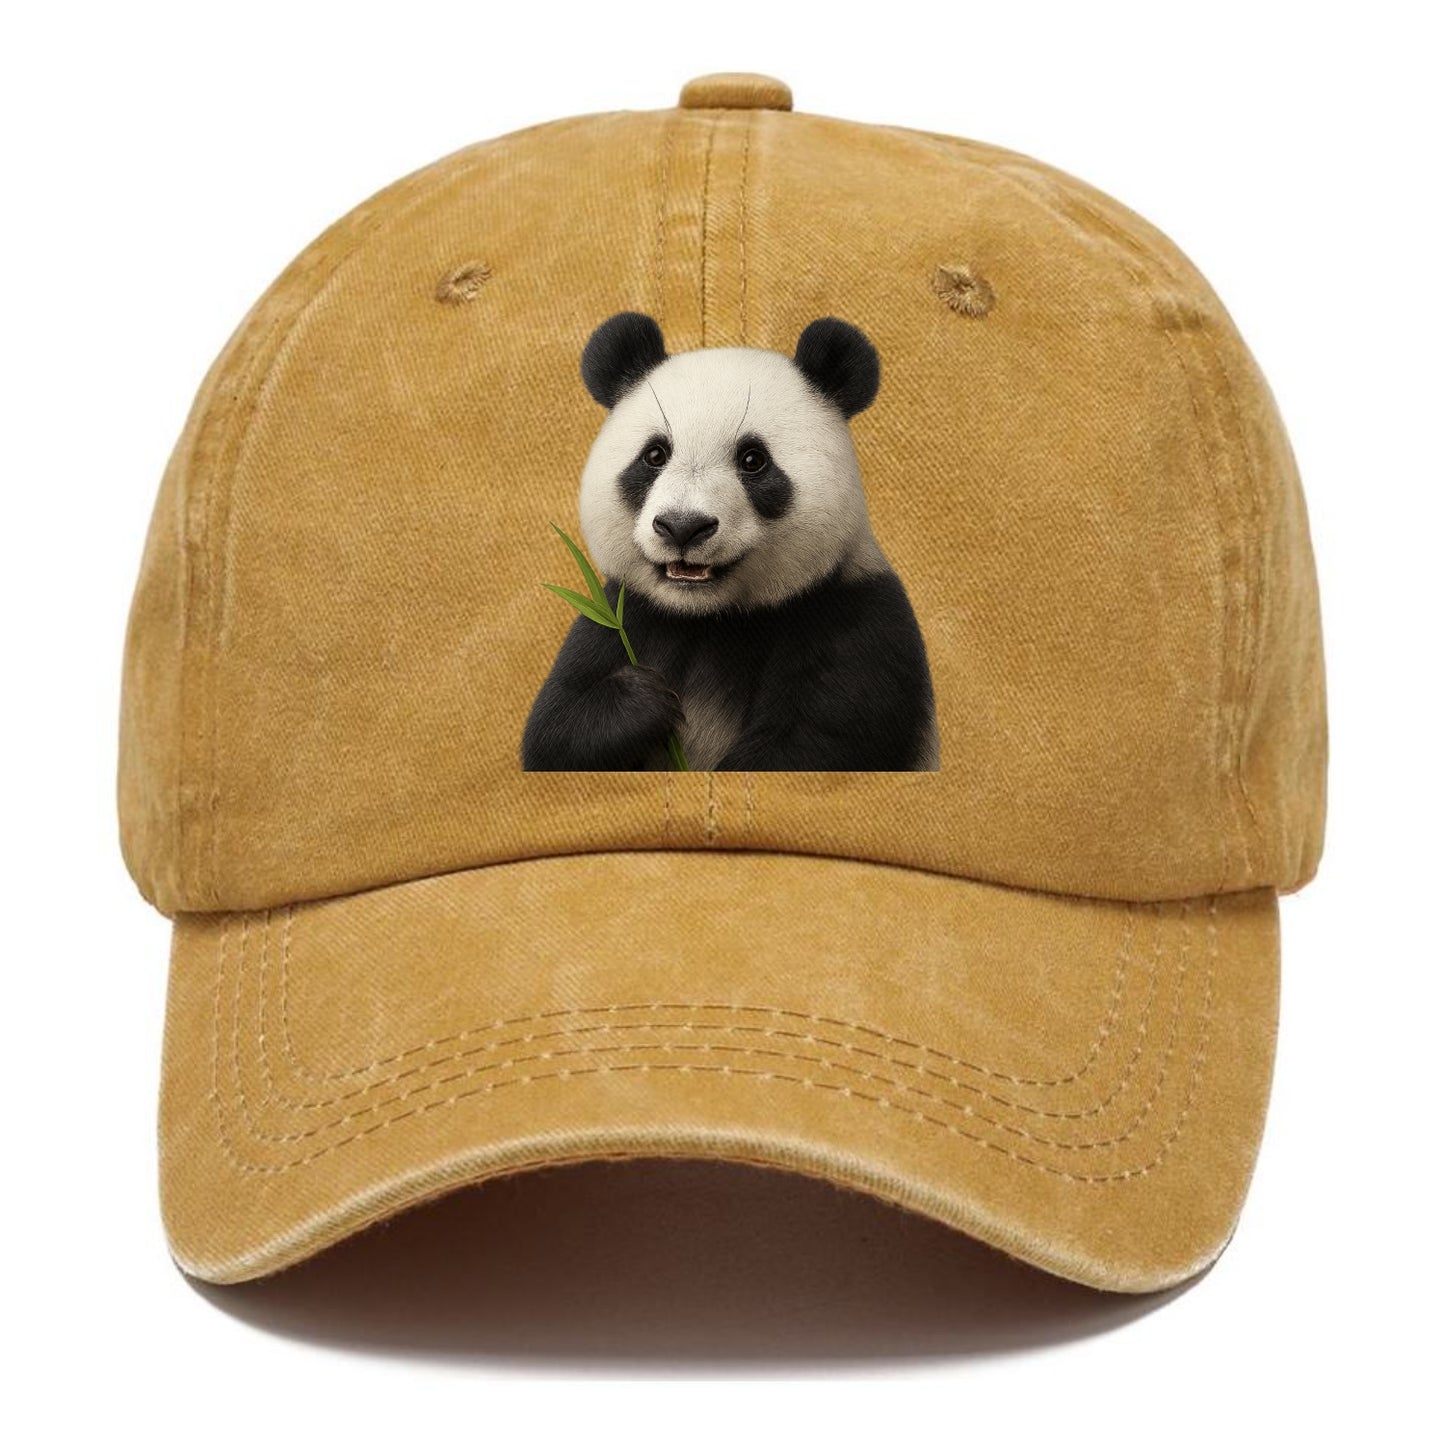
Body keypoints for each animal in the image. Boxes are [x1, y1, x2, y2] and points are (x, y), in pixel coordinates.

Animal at [521, 312, 940, 772]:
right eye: (654, 455)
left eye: (753, 460)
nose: (683, 526)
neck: (711, 618)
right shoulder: (623, 615)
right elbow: (554, 730)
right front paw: (642, 699)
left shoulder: (856, 621)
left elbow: (808, 745)